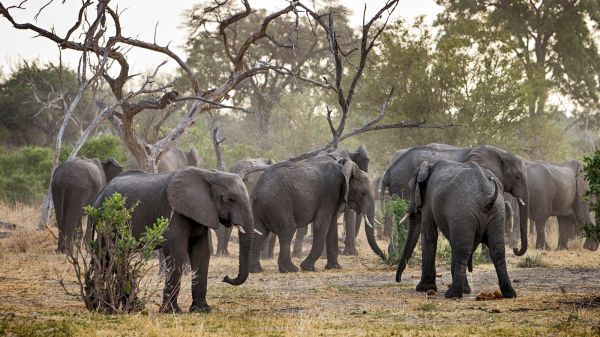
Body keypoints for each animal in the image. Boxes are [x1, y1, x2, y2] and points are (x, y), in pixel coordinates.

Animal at [94, 167, 255, 312]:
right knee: (108, 256)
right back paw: (110, 307)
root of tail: (101, 192)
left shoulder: (202, 210)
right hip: (105, 221)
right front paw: (171, 311)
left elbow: (201, 251)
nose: (225, 277)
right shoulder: (174, 212)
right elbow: (177, 250)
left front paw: (202, 309)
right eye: (230, 199)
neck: (208, 174)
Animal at [250, 158, 384, 272]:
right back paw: (290, 269)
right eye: (363, 193)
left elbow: (332, 228)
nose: (385, 257)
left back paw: (256, 270)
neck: (343, 169)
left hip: (260, 207)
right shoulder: (329, 193)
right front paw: (307, 267)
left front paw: (334, 268)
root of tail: (256, 191)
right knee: (288, 229)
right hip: (278, 203)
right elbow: (321, 225)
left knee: (260, 232)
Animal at [380, 143, 528, 274]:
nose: (515, 249)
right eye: (517, 176)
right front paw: (488, 261)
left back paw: (392, 257)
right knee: (403, 223)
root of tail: (389, 171)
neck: (502, 153)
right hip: (402, 185)